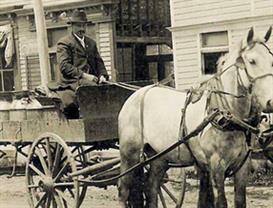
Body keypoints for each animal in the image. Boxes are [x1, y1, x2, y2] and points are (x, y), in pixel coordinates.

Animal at [117, 27, 272, 208]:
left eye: (271, 60)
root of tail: (136, 94)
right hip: (130, 155)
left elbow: (240, 201)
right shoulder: (216, 166)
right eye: (252, 61)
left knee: (151, 187)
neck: (227, 114)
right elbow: (221, 202)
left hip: (159, 157)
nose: (270, 102)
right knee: (123, 190)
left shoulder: (242, 165)